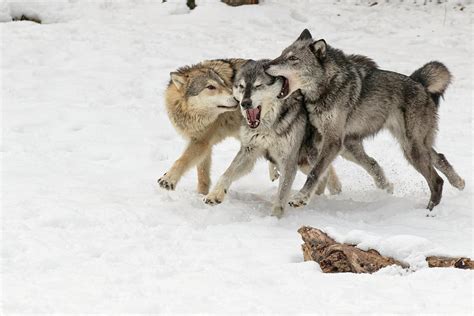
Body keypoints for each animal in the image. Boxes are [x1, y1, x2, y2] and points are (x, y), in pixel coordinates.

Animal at [157, 58, 342, 194]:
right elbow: (202, 175)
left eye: (223, 83)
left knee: (327, 172)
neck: (187, 113)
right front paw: (201, 195)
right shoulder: (203, 144)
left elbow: (182, 160)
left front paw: (168, 179)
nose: (238, 99)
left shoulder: (201, 142)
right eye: (210, 87)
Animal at [264, 29, 464, 210]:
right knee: (440, 157)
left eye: (293, 59)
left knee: (436, 180)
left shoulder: (333, 141)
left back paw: (429, 211)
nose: (266, 66)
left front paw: (301, 198)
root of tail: (419, 83)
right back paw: (459, 182)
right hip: (409, 146)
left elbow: (315, 172)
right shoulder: (326, 139)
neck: (326, 87)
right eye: (282, 53)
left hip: (411, 149)